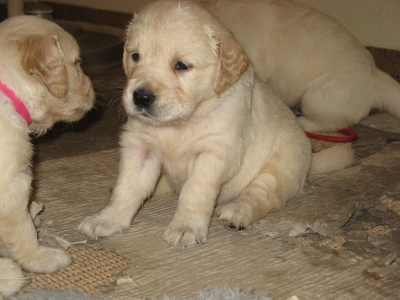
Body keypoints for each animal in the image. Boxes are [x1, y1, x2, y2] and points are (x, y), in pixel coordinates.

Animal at [77, 0, 350, 248]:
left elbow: (194, 190)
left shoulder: (215, 152)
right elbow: (127, 187)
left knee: (263, 193)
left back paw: (238, 211)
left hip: (283, 164)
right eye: (135, 56)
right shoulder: (140, 147)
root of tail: (309, 161)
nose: (141, 97)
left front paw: (185, 226)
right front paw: (109, 219)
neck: (182, 122)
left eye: (182, 65)